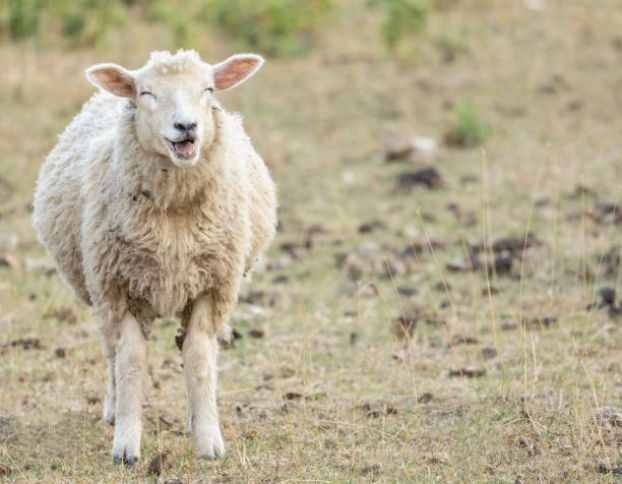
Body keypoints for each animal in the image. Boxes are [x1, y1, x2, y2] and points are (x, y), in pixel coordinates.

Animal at [31, 49, 280, 466]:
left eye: (208, 89)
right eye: (146, 93)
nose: (186, 126)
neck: (174, 217)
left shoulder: (212, 285)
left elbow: (198, 358)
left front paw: (208, 440)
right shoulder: (119, 287)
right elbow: (131, 360)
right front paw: (126, 445)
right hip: (98, 288)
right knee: (111, 353)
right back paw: (113, 410)